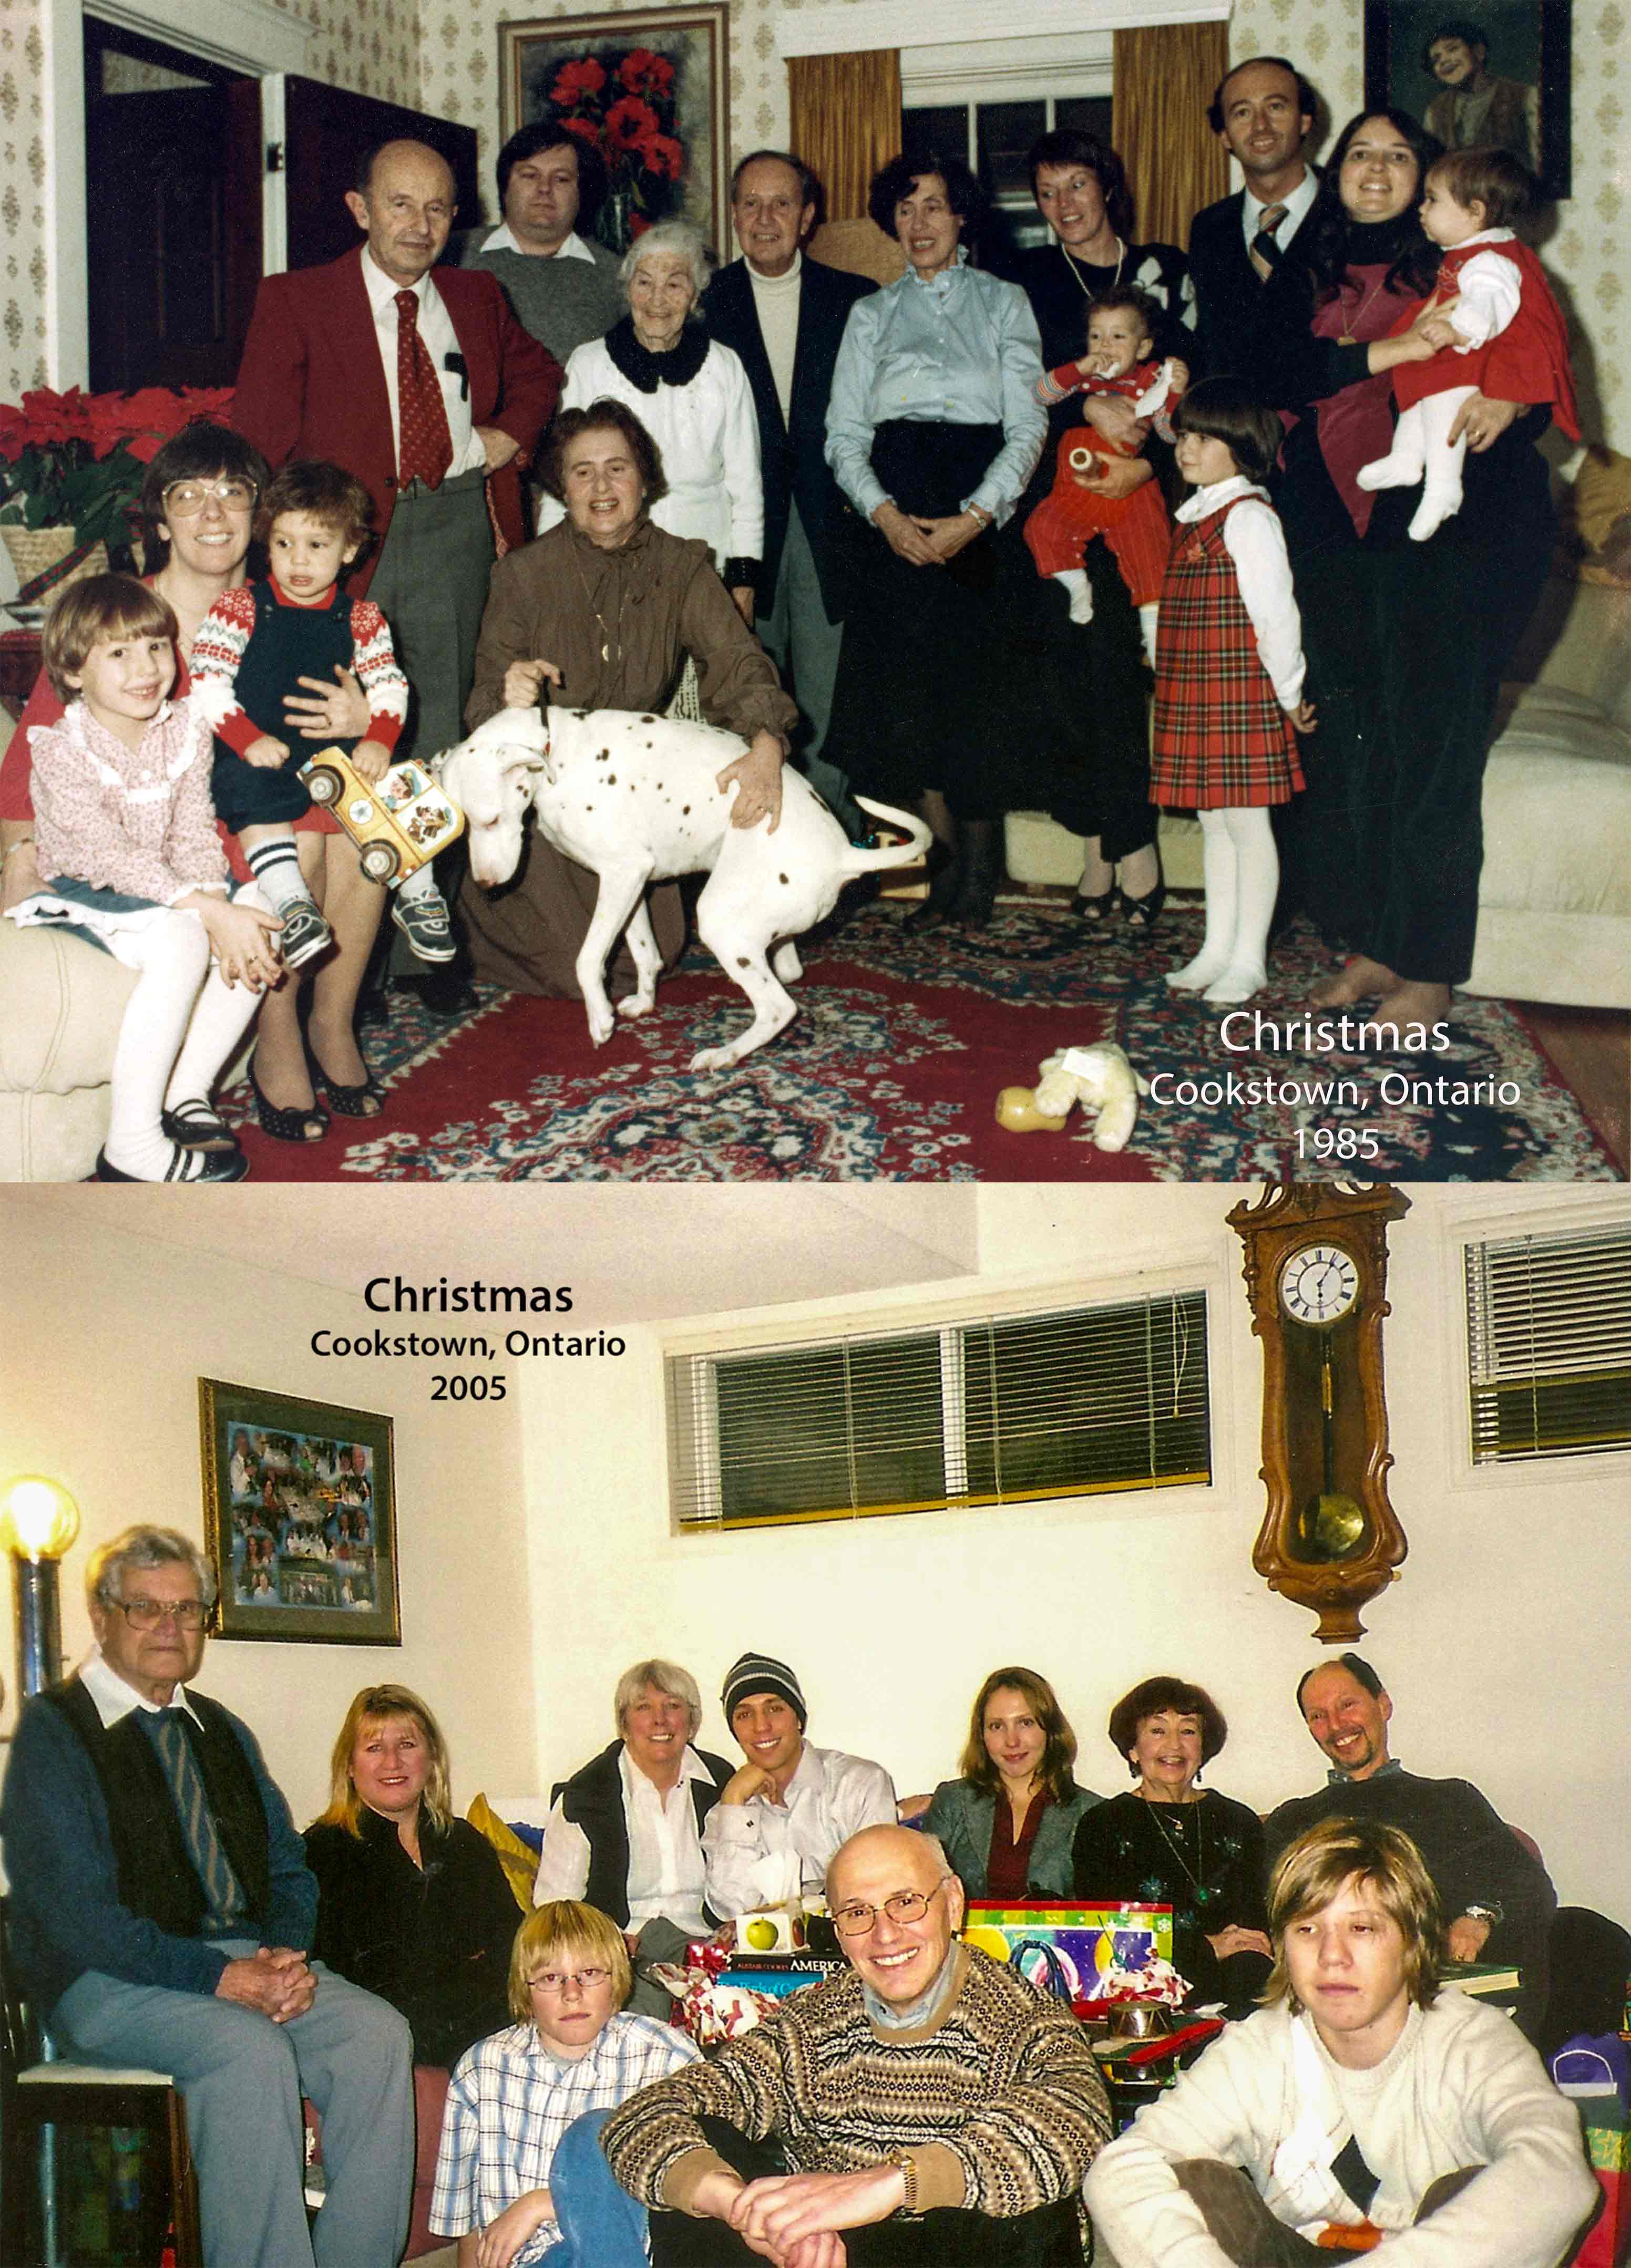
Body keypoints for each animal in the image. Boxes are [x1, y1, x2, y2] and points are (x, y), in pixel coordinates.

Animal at [440, 707, 930, 1070]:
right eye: (463, 827)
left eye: (491, 820)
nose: (484, 886)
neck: (555, 750)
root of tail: (843, 853)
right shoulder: (631, 881)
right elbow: (645, 953)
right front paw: (643, 1002)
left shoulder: (622, 874)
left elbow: (587, 961)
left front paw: (599, 1017)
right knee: (788, 971)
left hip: (719, 923)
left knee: (778, 1008)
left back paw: (724, 1054)